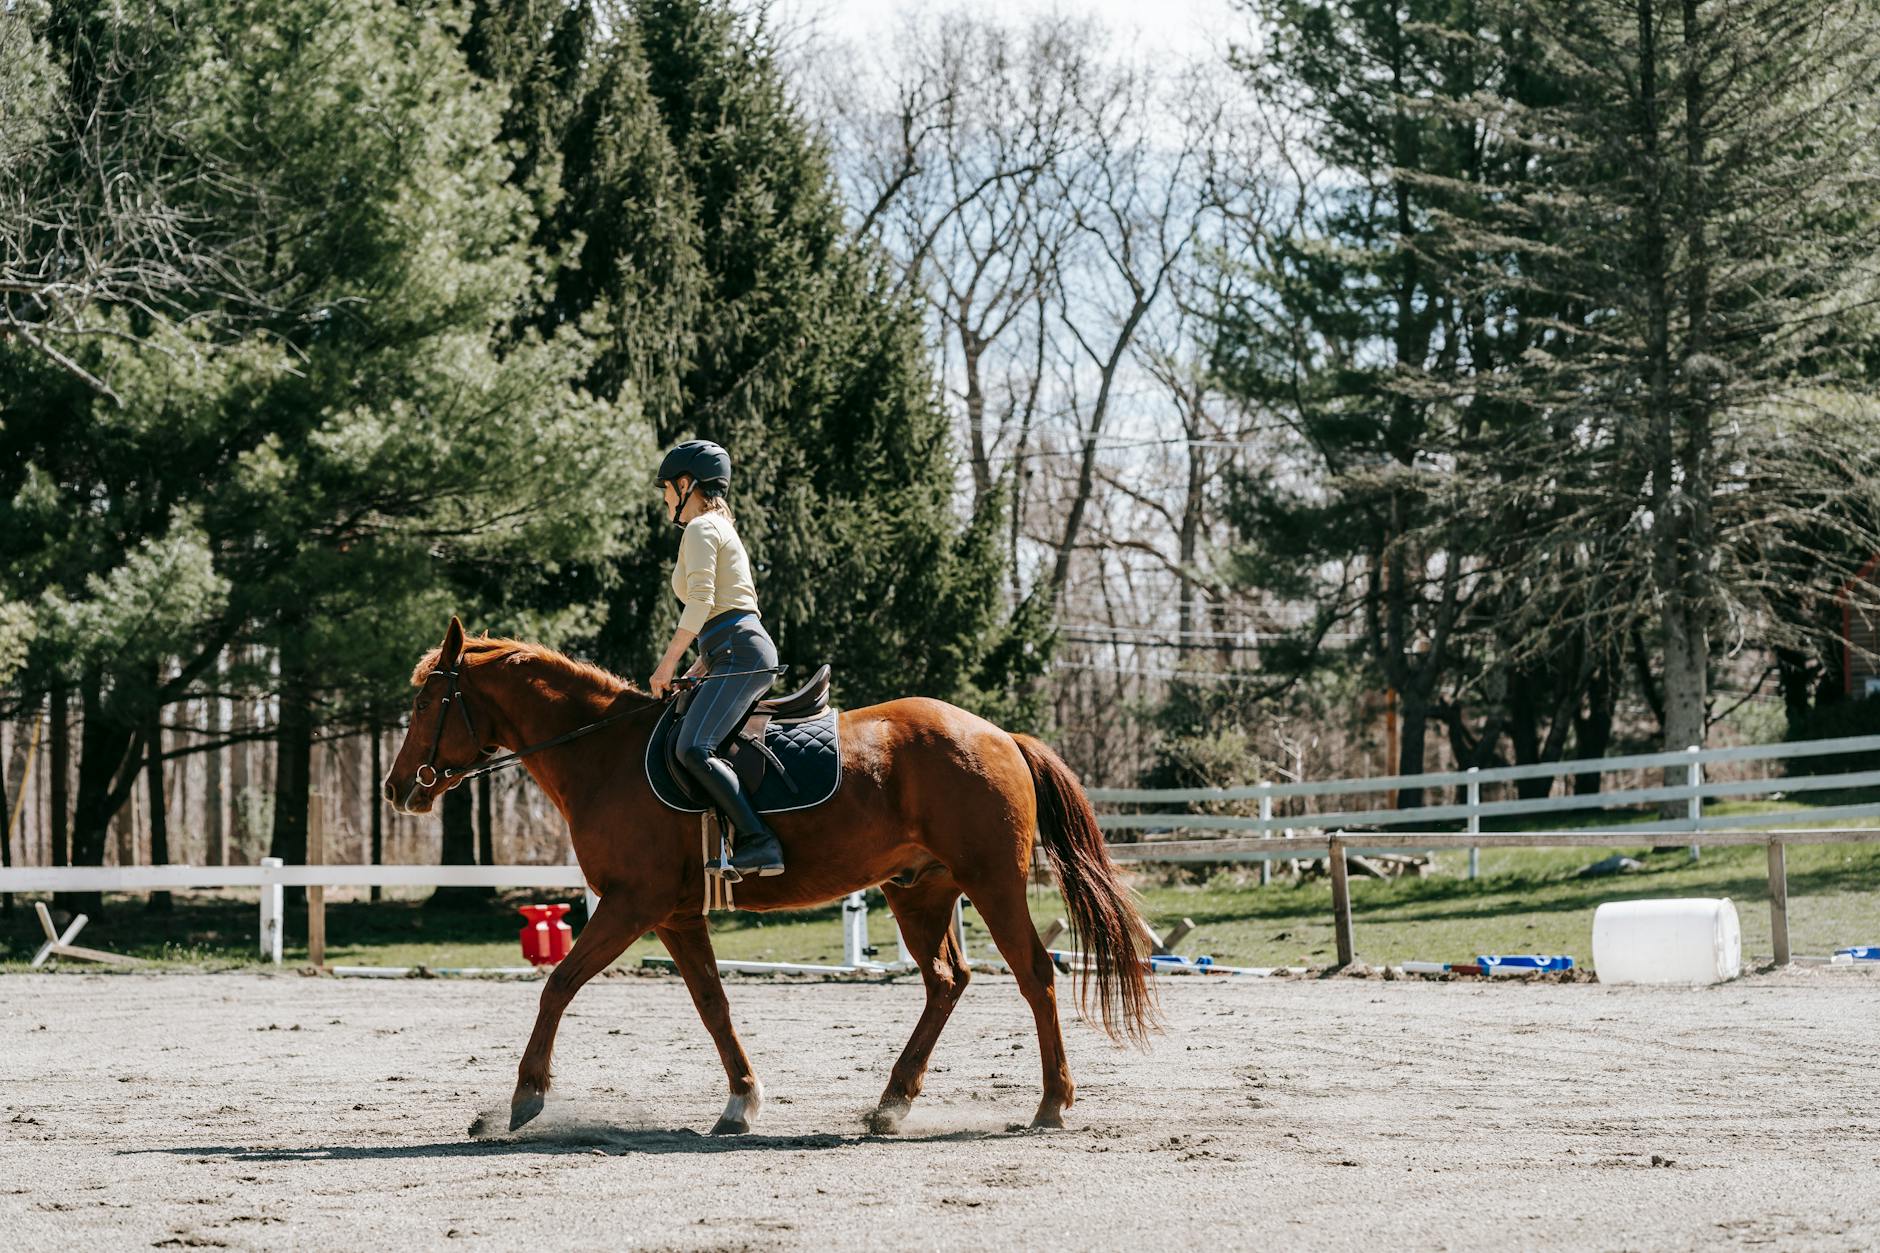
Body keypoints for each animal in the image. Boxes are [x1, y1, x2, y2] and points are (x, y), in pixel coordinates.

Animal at [387, 613, 1150, 1128]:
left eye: (426, 703)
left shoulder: (633, 904)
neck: (603, 754)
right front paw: (741, 1100)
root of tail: (997, 734)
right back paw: (892, 1102)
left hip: (991, 881)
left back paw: (1052, 1102)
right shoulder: (675, 915)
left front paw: (526, 1094)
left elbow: (559, 984)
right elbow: (712, 1004)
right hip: (919, 890)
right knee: (946, 981)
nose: (398, 789)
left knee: (1034, 974)